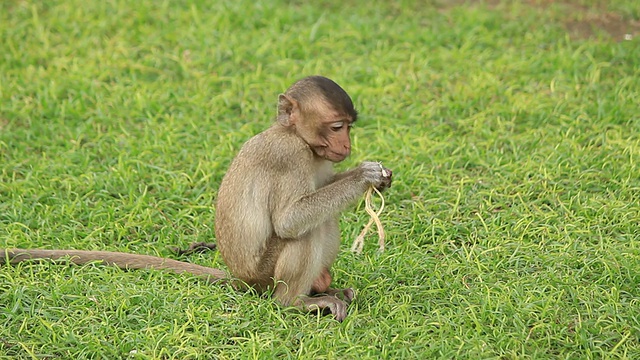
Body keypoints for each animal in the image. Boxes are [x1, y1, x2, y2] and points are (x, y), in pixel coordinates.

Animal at [0, 74, 392, 322]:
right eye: (337, 127)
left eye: (348, 128)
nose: (346, 145)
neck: (294, 134)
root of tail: (240, 279)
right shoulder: (288, 155)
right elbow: (290, 221)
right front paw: (365, 176)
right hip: (263, 276)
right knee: (306, 230)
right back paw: (296, 304)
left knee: (325, 216)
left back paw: (322, 290)